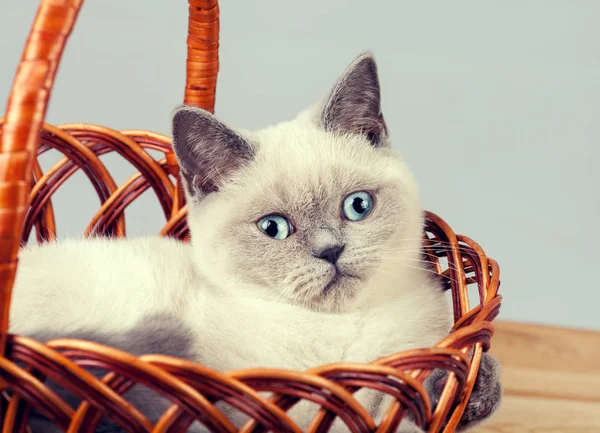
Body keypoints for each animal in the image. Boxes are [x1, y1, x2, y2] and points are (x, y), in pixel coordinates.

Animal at [8, 52, 502, 430]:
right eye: (273, 228)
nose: (331, 250)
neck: (337, 331)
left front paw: (472, 386)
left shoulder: (399, 379)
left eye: (358, 206)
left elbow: (433, 391)